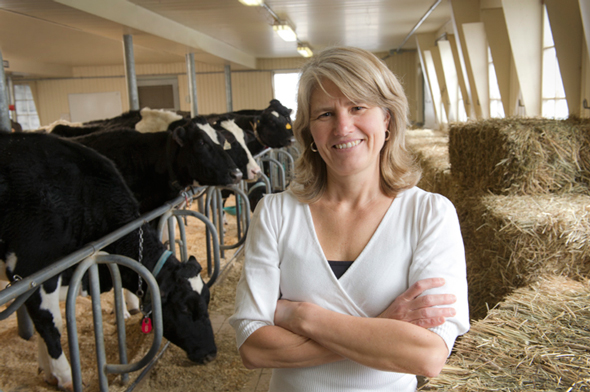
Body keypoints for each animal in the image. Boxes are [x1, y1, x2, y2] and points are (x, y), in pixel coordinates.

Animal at [0, 132, 217, 392]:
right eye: (184, 307)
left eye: (207, 299)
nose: (211, 354)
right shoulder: (33, 271)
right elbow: (50, 325)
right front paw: (64, 376)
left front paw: (47, 371)